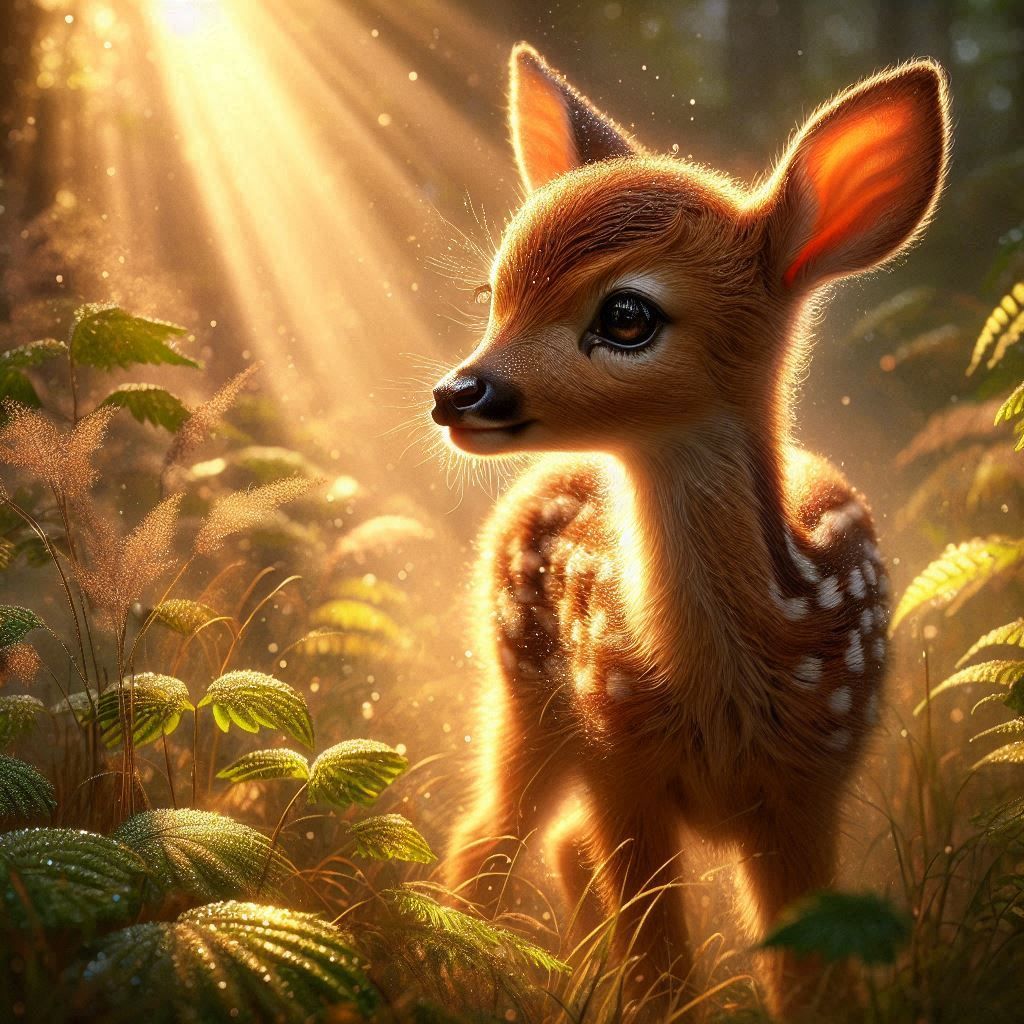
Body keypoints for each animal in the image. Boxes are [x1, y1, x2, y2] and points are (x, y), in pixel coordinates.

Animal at [430, 42, 950, 1016]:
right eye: (493, 293)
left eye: (627, 315)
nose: (456, 393)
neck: (729, 690)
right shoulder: (617, 753)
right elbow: (662, 970)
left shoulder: (810, 784)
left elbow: (803, 972)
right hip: (528, 690)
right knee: (489, 837)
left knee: (550, 845)